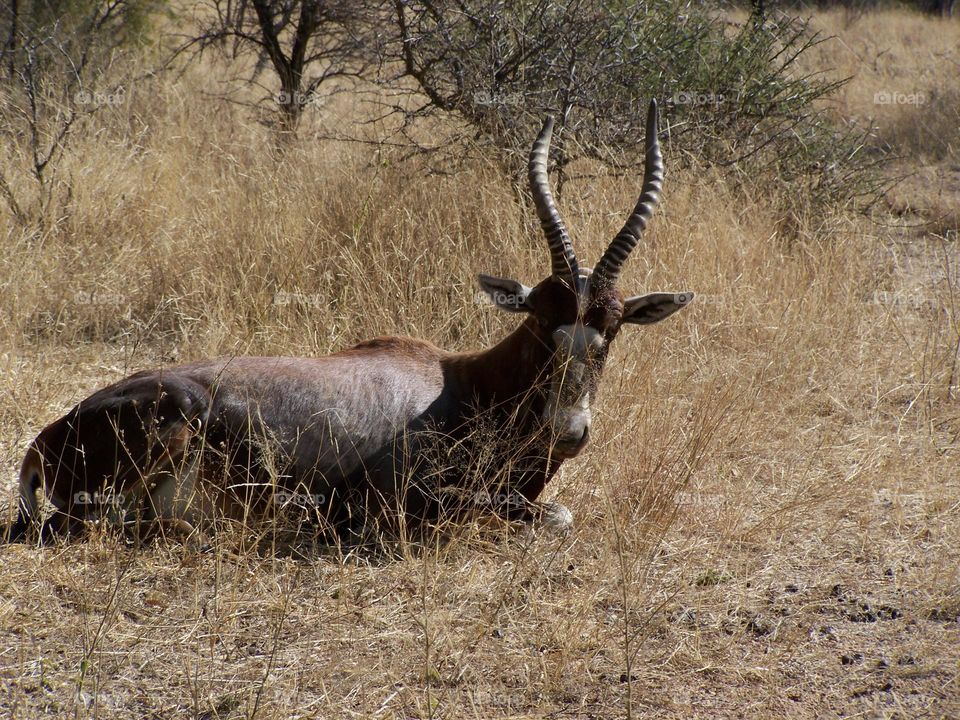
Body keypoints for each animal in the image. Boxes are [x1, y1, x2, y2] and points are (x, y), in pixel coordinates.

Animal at [0, 98, 688, 544]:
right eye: (544, 324)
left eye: (613, 329)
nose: (568, 432)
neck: (459, 382)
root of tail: (47, 438)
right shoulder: (400, 495)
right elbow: (557, 516)